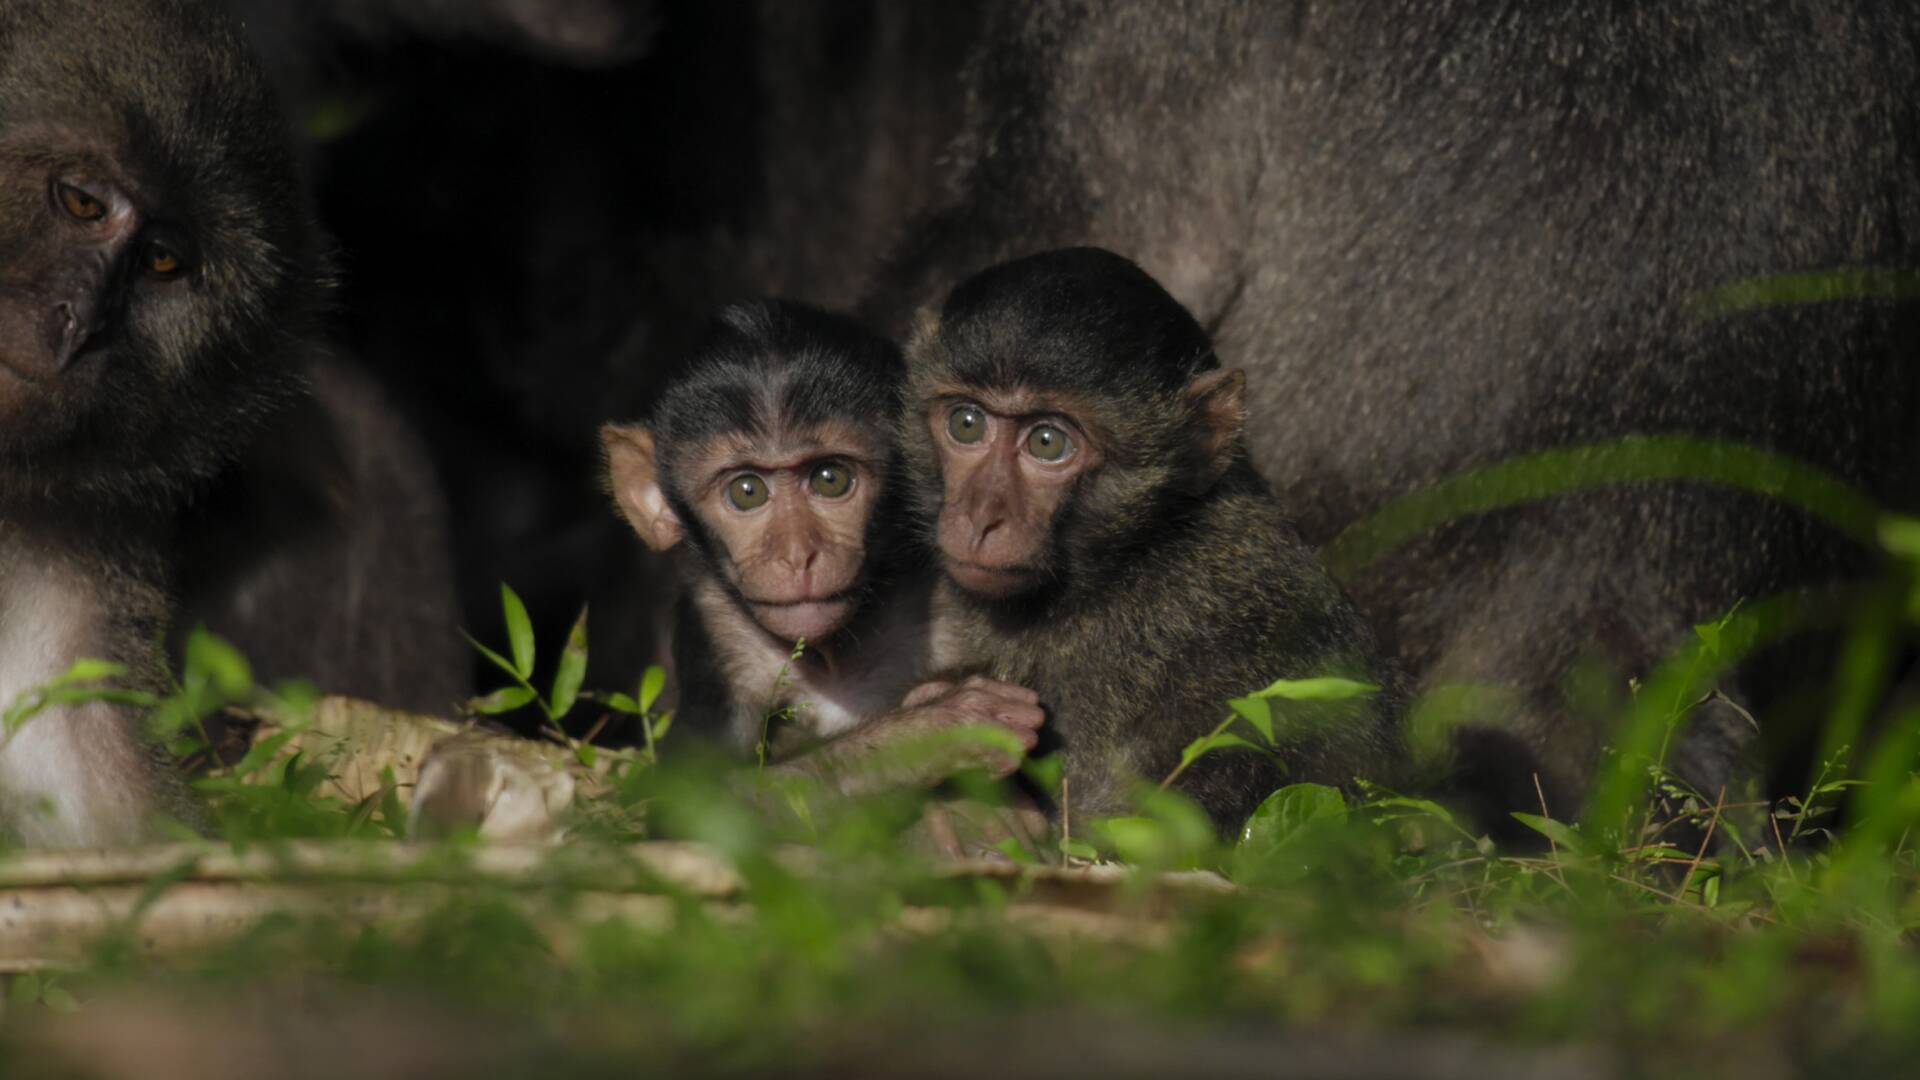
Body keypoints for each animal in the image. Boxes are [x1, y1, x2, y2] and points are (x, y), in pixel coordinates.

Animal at [602, 297, 1044, 795]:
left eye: (830, 479)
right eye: (747, 492)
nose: (798, 555)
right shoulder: (715, 625)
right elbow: (681, 799)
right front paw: (937, 730)